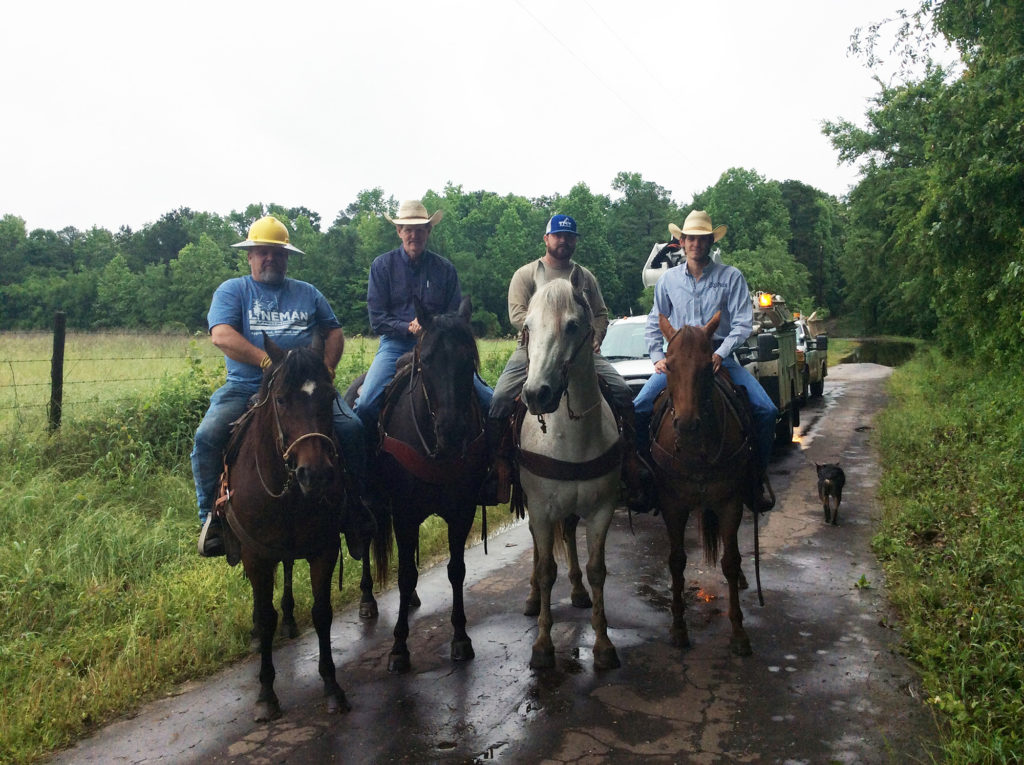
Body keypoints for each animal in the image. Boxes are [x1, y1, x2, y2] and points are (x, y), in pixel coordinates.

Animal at [374, 296, 489, 671]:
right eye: (425, 361)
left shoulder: (462, 511)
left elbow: (456, 570)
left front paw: (460, 637)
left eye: (468, 359)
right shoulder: (403, 514)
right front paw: (398, 647)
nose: (451, 432)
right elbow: (405, 573)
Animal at [516, 276, 618, 671]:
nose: (536, 395)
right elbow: (546, 570)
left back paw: (576, 591)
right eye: (527, 328)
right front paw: (543, 646)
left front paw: (603, 644)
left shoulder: (602, 509)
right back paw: (532, 598)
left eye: (573, 325)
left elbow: (597, 570)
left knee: (571, 534)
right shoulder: (541, 511)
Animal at [651, 311, 757, 659]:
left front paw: (738, 633)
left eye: (706, 367)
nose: (686, 426)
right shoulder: (672, 505)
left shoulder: (729, 503)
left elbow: (730, 560)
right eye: (670, 366)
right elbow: (676, 562)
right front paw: (678, 628)